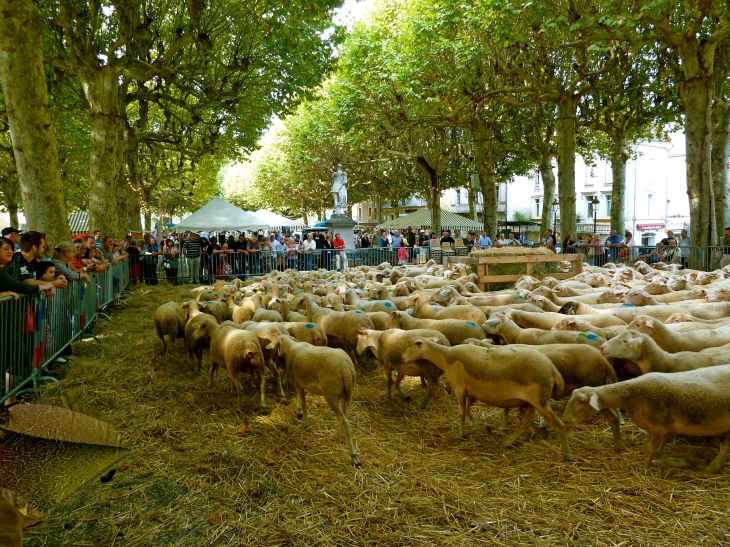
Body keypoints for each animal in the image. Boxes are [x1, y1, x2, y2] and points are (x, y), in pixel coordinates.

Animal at [266, 338, 360, 466]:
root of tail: (345, 368)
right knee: (345, 417)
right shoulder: (299, 382)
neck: (290, 348)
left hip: (331, 392)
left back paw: (353, 456)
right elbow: (299, 397)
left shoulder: (297, 381)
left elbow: (304, 403)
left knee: (344, 421)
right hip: (347, 392)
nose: (272, 359)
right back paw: (336, 436)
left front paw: (305, 423)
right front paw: (298, 410)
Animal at [400, 338, 572, 458]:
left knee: (557, 424)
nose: (401, 358)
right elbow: (468, 411)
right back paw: (512, 440)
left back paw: (567, 453)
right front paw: (484, 428)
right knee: (527, 421)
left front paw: (461, 434)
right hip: (532, 401)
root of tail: (552, 368)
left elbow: (462, 413)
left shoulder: (459, 389)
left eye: (410, 344)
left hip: (539, 399)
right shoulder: (472, 393)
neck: (446, 357)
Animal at [564, 368, 730, 476]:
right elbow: (658, 451)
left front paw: (644, 471)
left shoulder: (659, 427)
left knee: (725, 448)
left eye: (582, 401)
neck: (632, 396)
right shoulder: (663, 427)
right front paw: (685, 462)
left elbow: (651, 450)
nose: (565, 421)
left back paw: (711, 468)